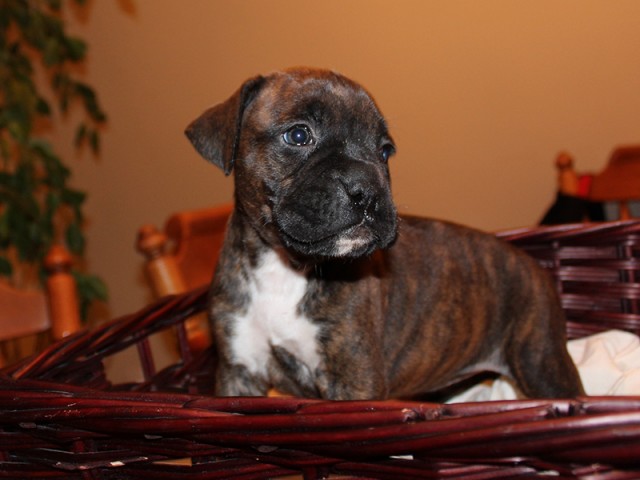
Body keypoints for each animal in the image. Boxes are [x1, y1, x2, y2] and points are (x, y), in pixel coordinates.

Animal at [185, 65, 584, 400]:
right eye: (298, 135)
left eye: (384, 151)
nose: (368, 190)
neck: (282, 266)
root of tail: (531, 263)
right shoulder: (238, 374)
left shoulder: (355, 378)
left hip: (543, 362)